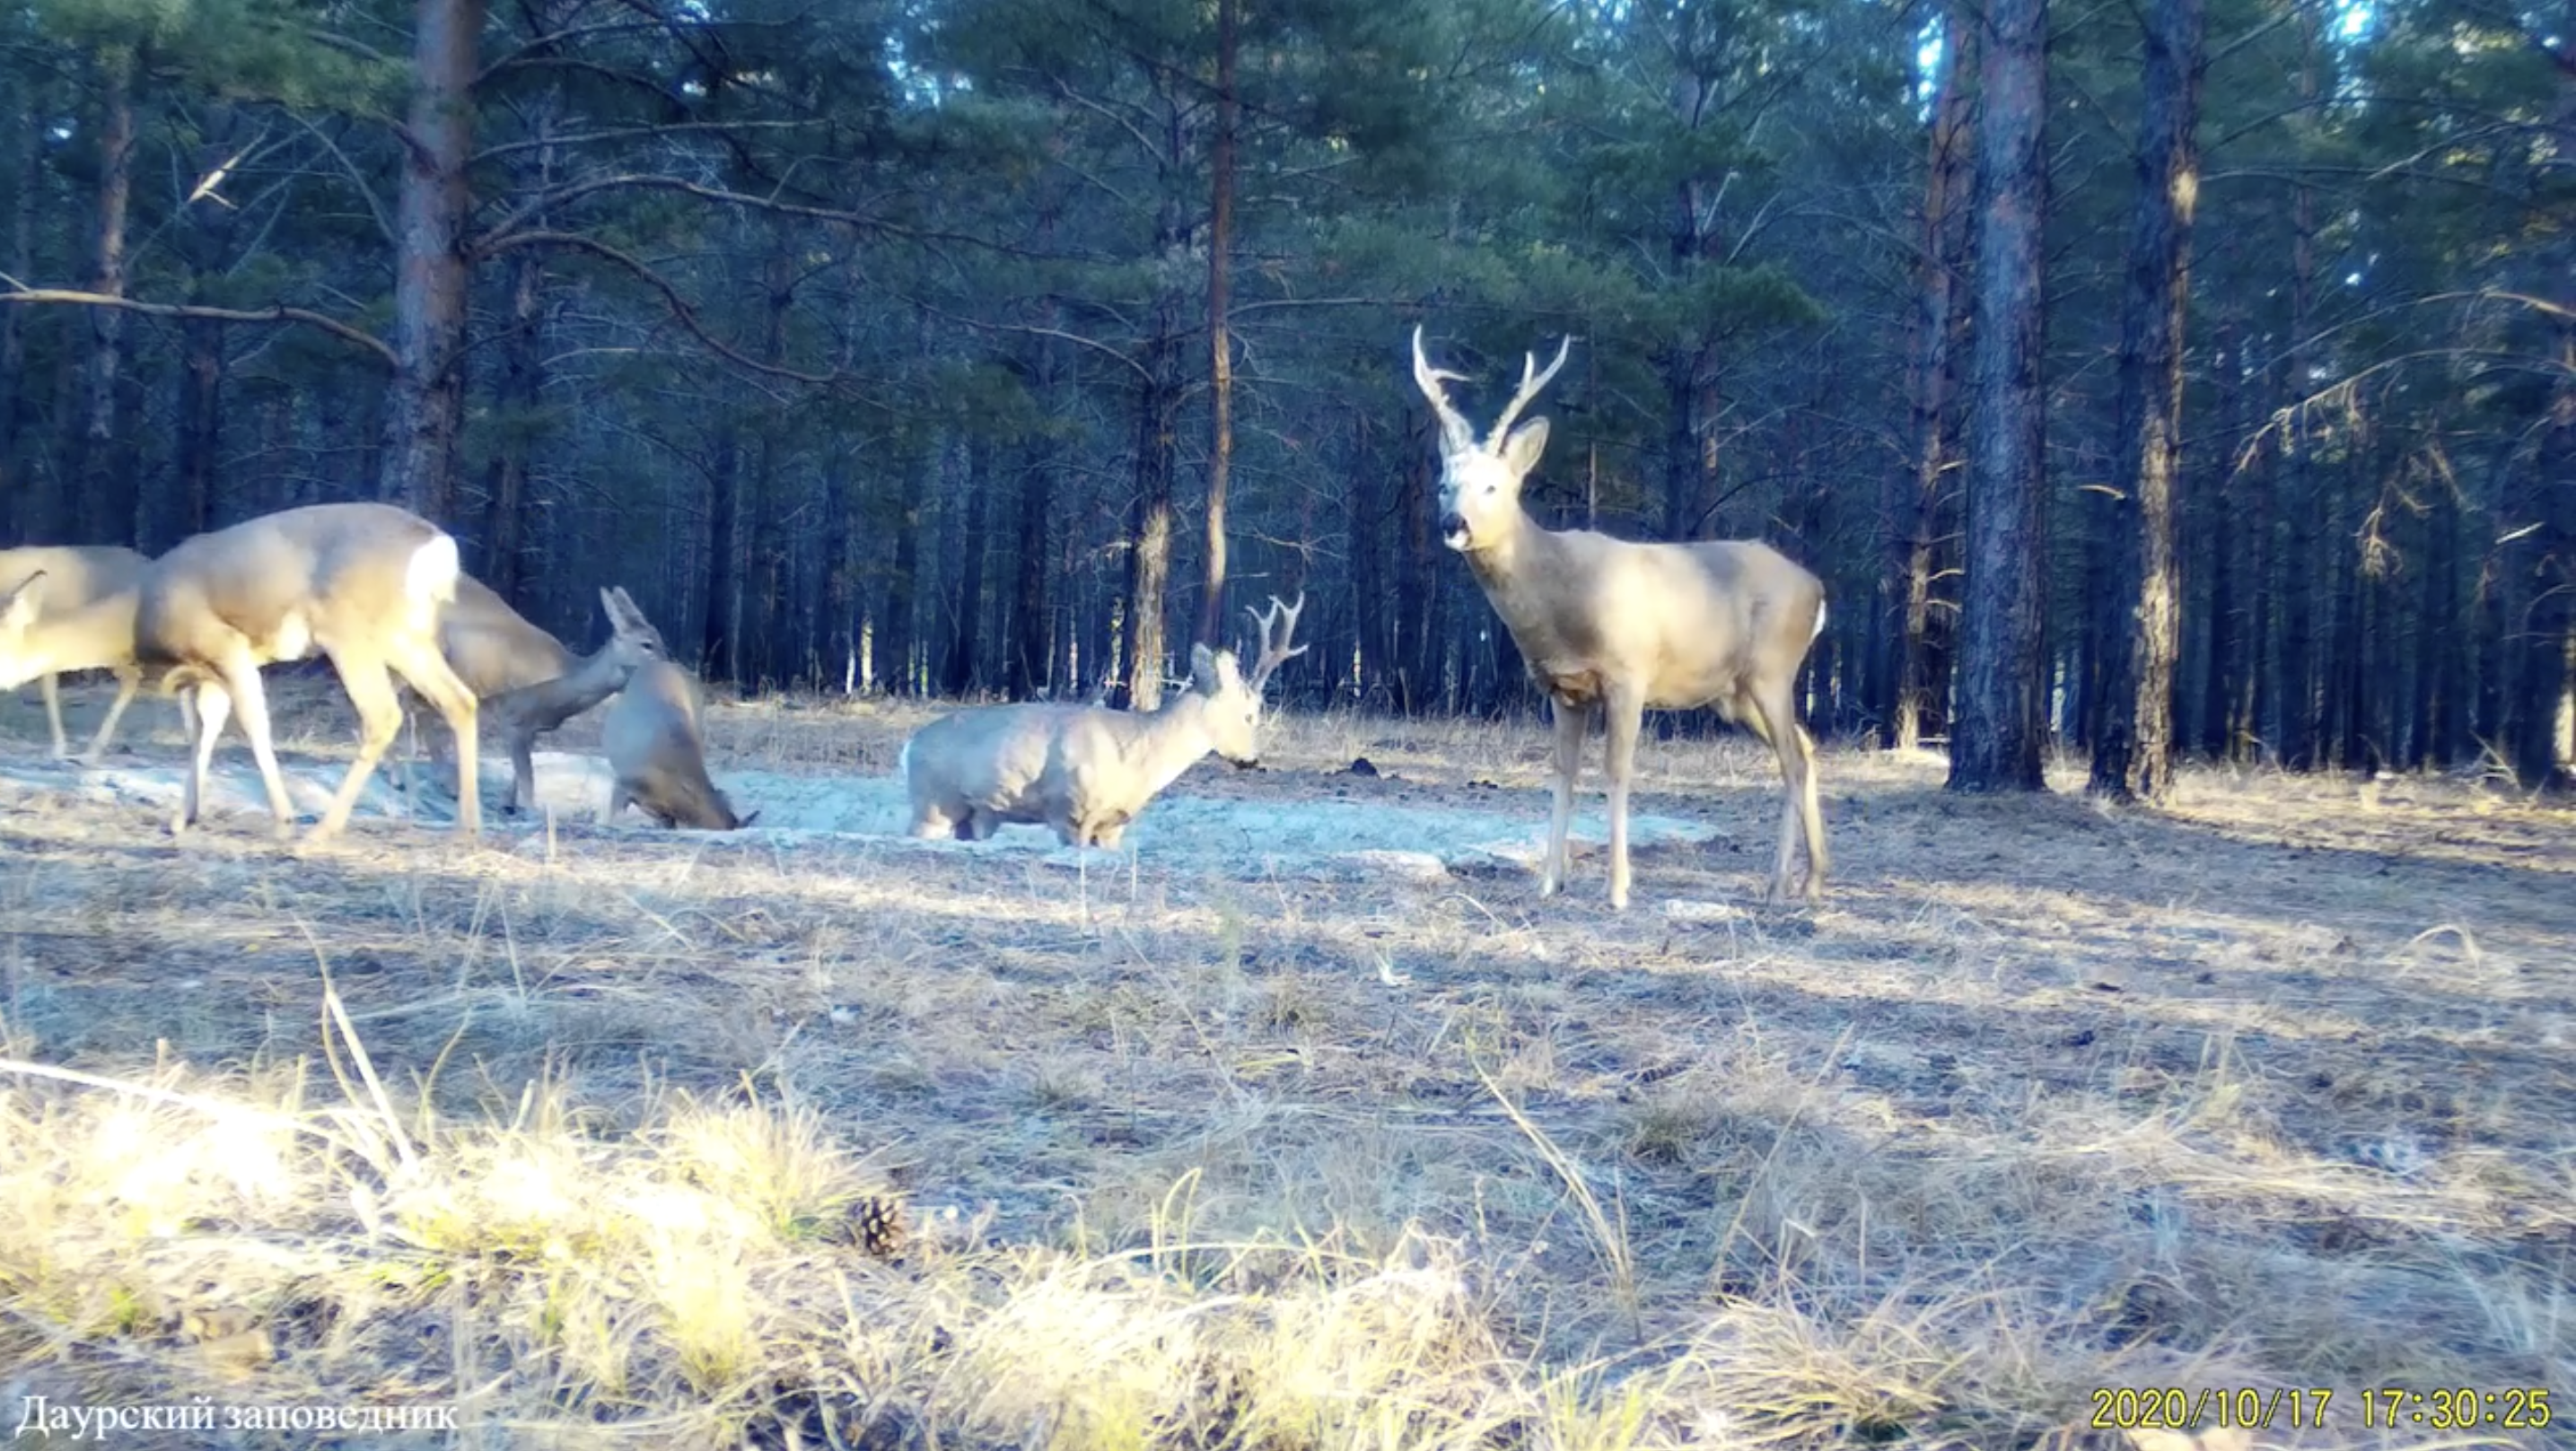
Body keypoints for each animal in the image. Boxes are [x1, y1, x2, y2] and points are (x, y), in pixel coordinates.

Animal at [136, 500, 484, 840]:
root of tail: (438, 547)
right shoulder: (216, 669)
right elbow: (209, 725)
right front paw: (183, 817)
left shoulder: (227, 647)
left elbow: (251, 724)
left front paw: (283, 820)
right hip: (406, 637)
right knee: (460, 701)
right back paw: (467, 825)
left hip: (350, 633)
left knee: (383, 715)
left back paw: (322, 831)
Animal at [907, 595, 1308, 850]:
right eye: (1250, 712)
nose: (1253, 760)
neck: (1141, 757)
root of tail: (909, 747)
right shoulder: (1070, 812)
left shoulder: (1115, 826)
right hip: (932, 804)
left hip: (969, 816)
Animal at [1411, 335, 1834, 912]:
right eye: (1443, 483)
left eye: (1494, 486)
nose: (1454, 523)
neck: (1562, 601)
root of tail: (1816, 588)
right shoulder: (1562, 689)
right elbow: (1563, 773)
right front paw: (1549, 881)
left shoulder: (1628, 674)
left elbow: (1617, 770)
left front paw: (1618, 888)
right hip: (1737, 692)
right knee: (1806, 747)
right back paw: (1812, 880)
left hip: (1773, 669)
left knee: (1791, 760)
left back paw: (1776, 886)